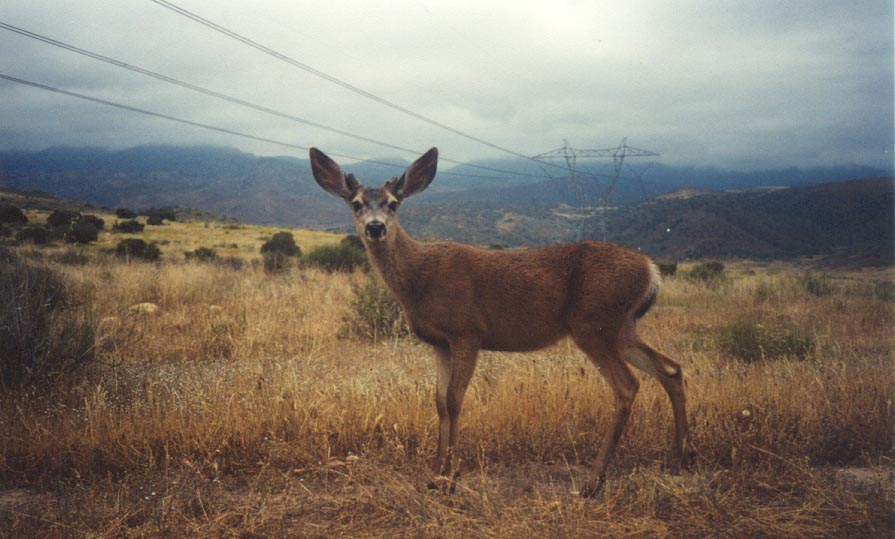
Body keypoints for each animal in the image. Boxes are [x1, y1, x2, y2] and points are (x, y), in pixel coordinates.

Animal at [310, 147, 692, 498]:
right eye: (356, 203)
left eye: (393, 203)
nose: (375, 227)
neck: (420, 278)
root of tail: (651, 270)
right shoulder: (440, 342)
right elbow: (438, 401)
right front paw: (435, 476)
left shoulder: (468, 331)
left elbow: (454, 399)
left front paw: (451, 477)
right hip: (621, 327)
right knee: (671, 369)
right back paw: (683, 453)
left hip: (593, 322)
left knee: (627, 386)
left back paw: (592, 481)